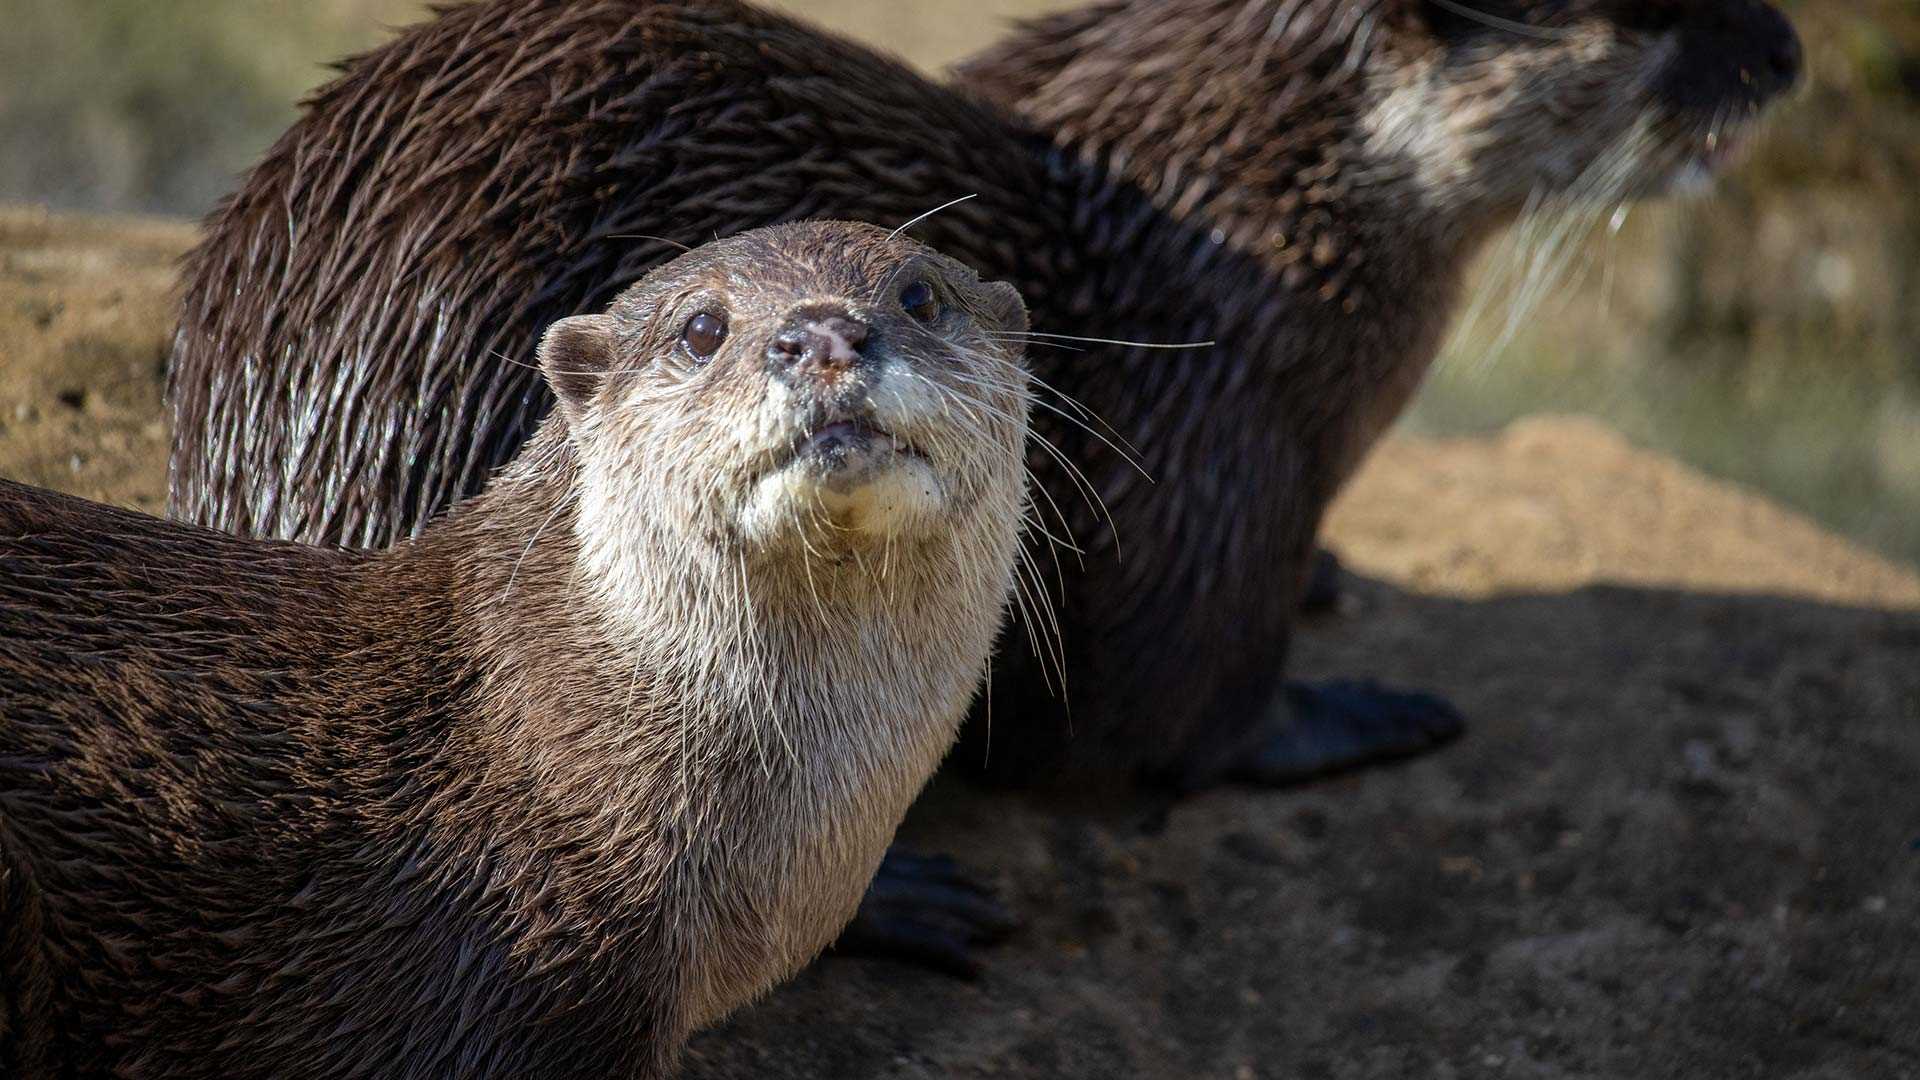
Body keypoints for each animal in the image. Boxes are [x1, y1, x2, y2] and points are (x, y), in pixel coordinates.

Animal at [165, 0, 1797, 960]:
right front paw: (1358, 712)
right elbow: (1162, 718)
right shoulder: (1208, 460)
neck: (1246, 247)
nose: (1782, 46)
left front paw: (1341, 576)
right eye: (1657, 10)